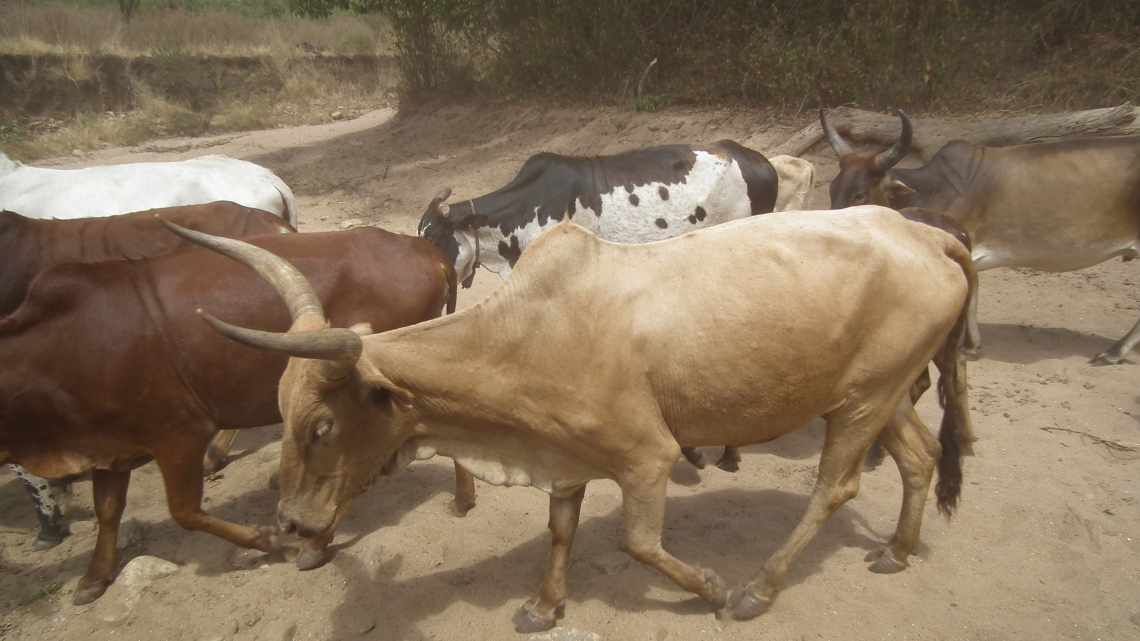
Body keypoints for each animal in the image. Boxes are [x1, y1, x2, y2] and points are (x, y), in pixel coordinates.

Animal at [0, 222, 453, 602]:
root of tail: (424, 250)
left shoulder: (177, 434)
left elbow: (185, 511)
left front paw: (268, 540)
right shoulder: (110, 448)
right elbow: (108, 511)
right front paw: (95, 577)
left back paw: (312, 543)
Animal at [175, 205, 971, 629]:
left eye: (322, 426)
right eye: (281, 412)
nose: (293, 524)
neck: (531, 331)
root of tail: (924, 233)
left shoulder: (648, 456)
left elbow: (639, 542)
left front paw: (712, 587)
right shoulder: (564, 457)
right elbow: (560, 530)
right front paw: (544, 604)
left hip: (862, 401)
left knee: (836, 486)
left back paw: (757, 588)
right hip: (879, 393)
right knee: (920, 458)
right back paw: (897, 549)